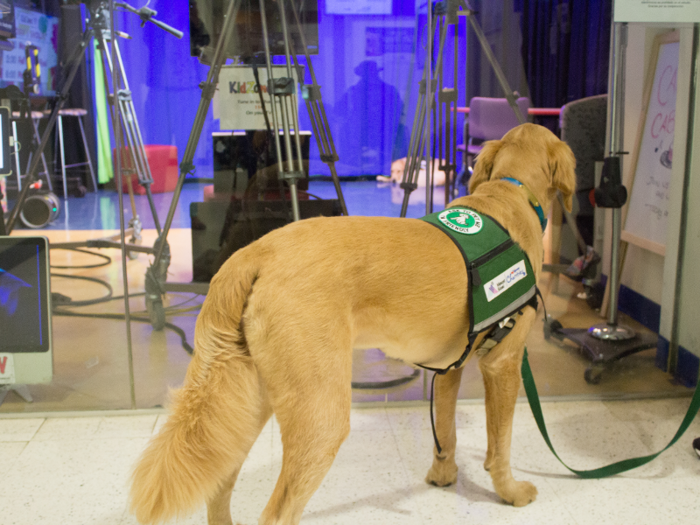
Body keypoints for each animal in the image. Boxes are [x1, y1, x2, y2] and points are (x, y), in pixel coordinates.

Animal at [130, 124, 576, 524]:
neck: (510, 190)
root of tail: (256, 252)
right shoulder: (504, 364)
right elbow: (500, 444)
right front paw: (511, 492)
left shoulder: (450, 367)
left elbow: (445, 433)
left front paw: (443, 475)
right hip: (320, 417)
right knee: (276, 514)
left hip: (242, 404)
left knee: (219, 488)